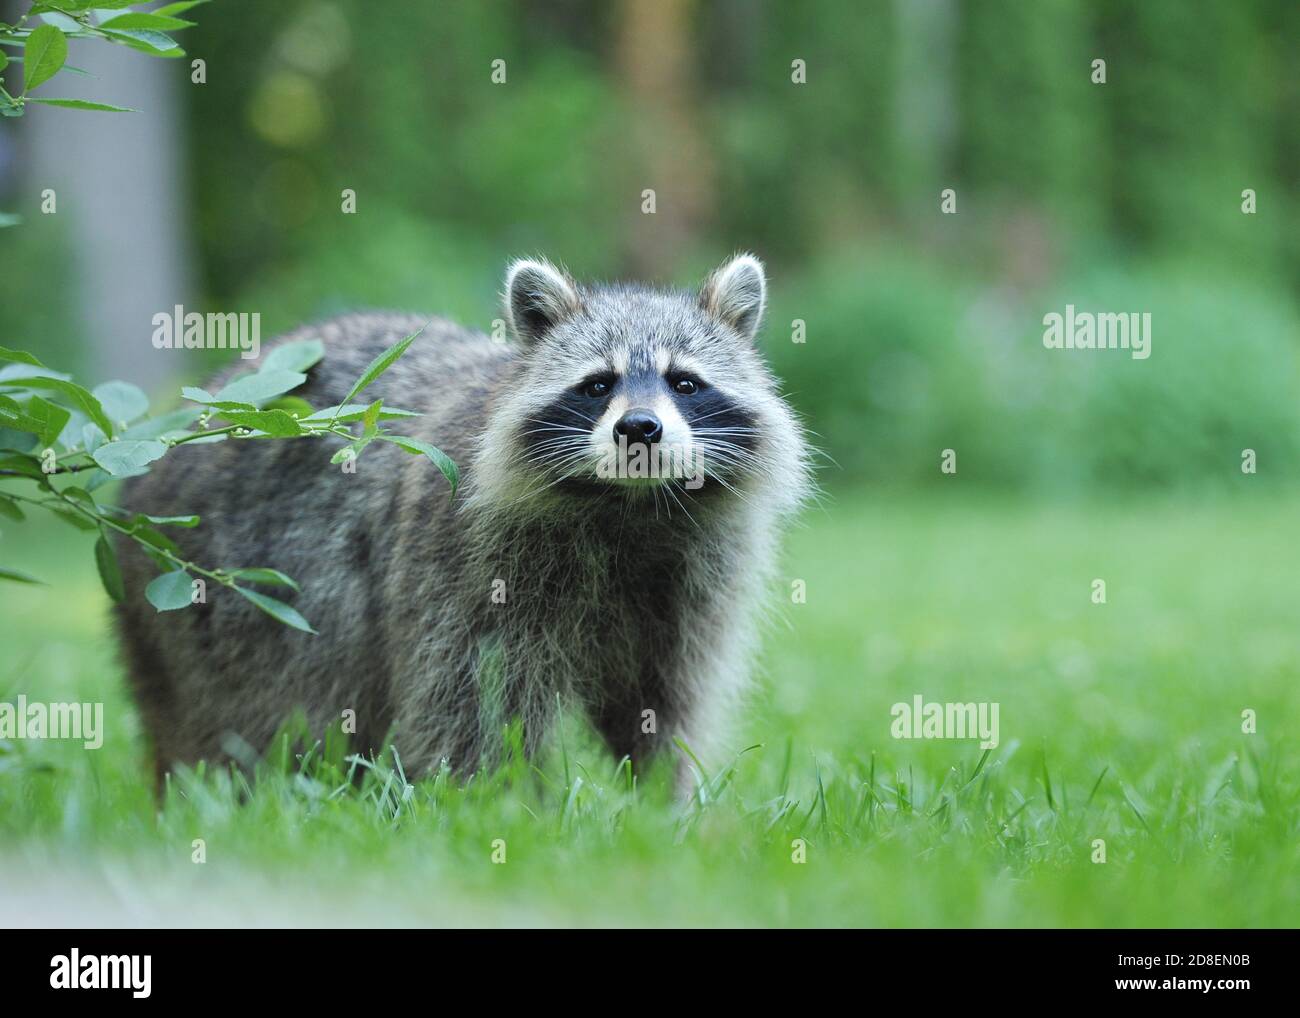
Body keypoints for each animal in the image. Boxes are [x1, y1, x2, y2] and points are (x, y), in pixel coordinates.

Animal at [119, 257, 811, 795]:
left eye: (685, 382)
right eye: (597, 385)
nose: (639, 428)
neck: (627, 504)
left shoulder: (692, 583)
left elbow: (665, 701)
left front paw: (664, 800)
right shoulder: (460, 563)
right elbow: (469, 703)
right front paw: (498, 806)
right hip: (209, 605)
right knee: (251, 713)